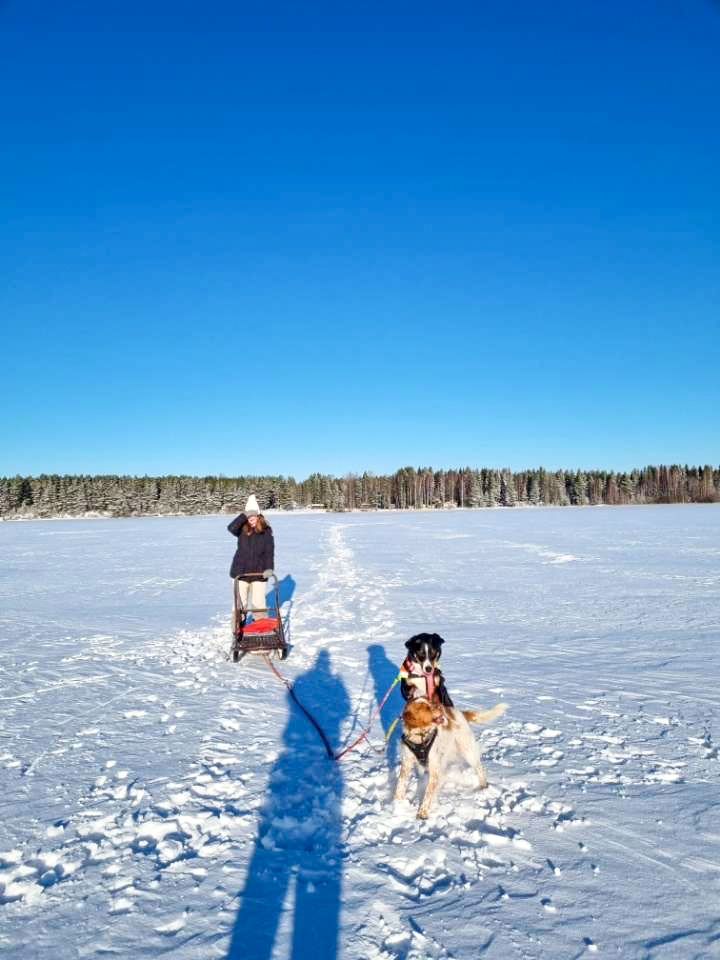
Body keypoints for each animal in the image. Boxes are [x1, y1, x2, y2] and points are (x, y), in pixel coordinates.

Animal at [394, 692, 506, 820]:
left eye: (431, 702)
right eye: (426, 708)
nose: (440, 706)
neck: (420, 737)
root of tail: (460, 713)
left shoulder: (434, 767)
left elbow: (428, 794)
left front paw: (422, 812)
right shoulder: (407, 763)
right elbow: (400, 784)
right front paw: (397, 804)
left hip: (467, 750)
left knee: (479, 768)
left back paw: (484, 787)